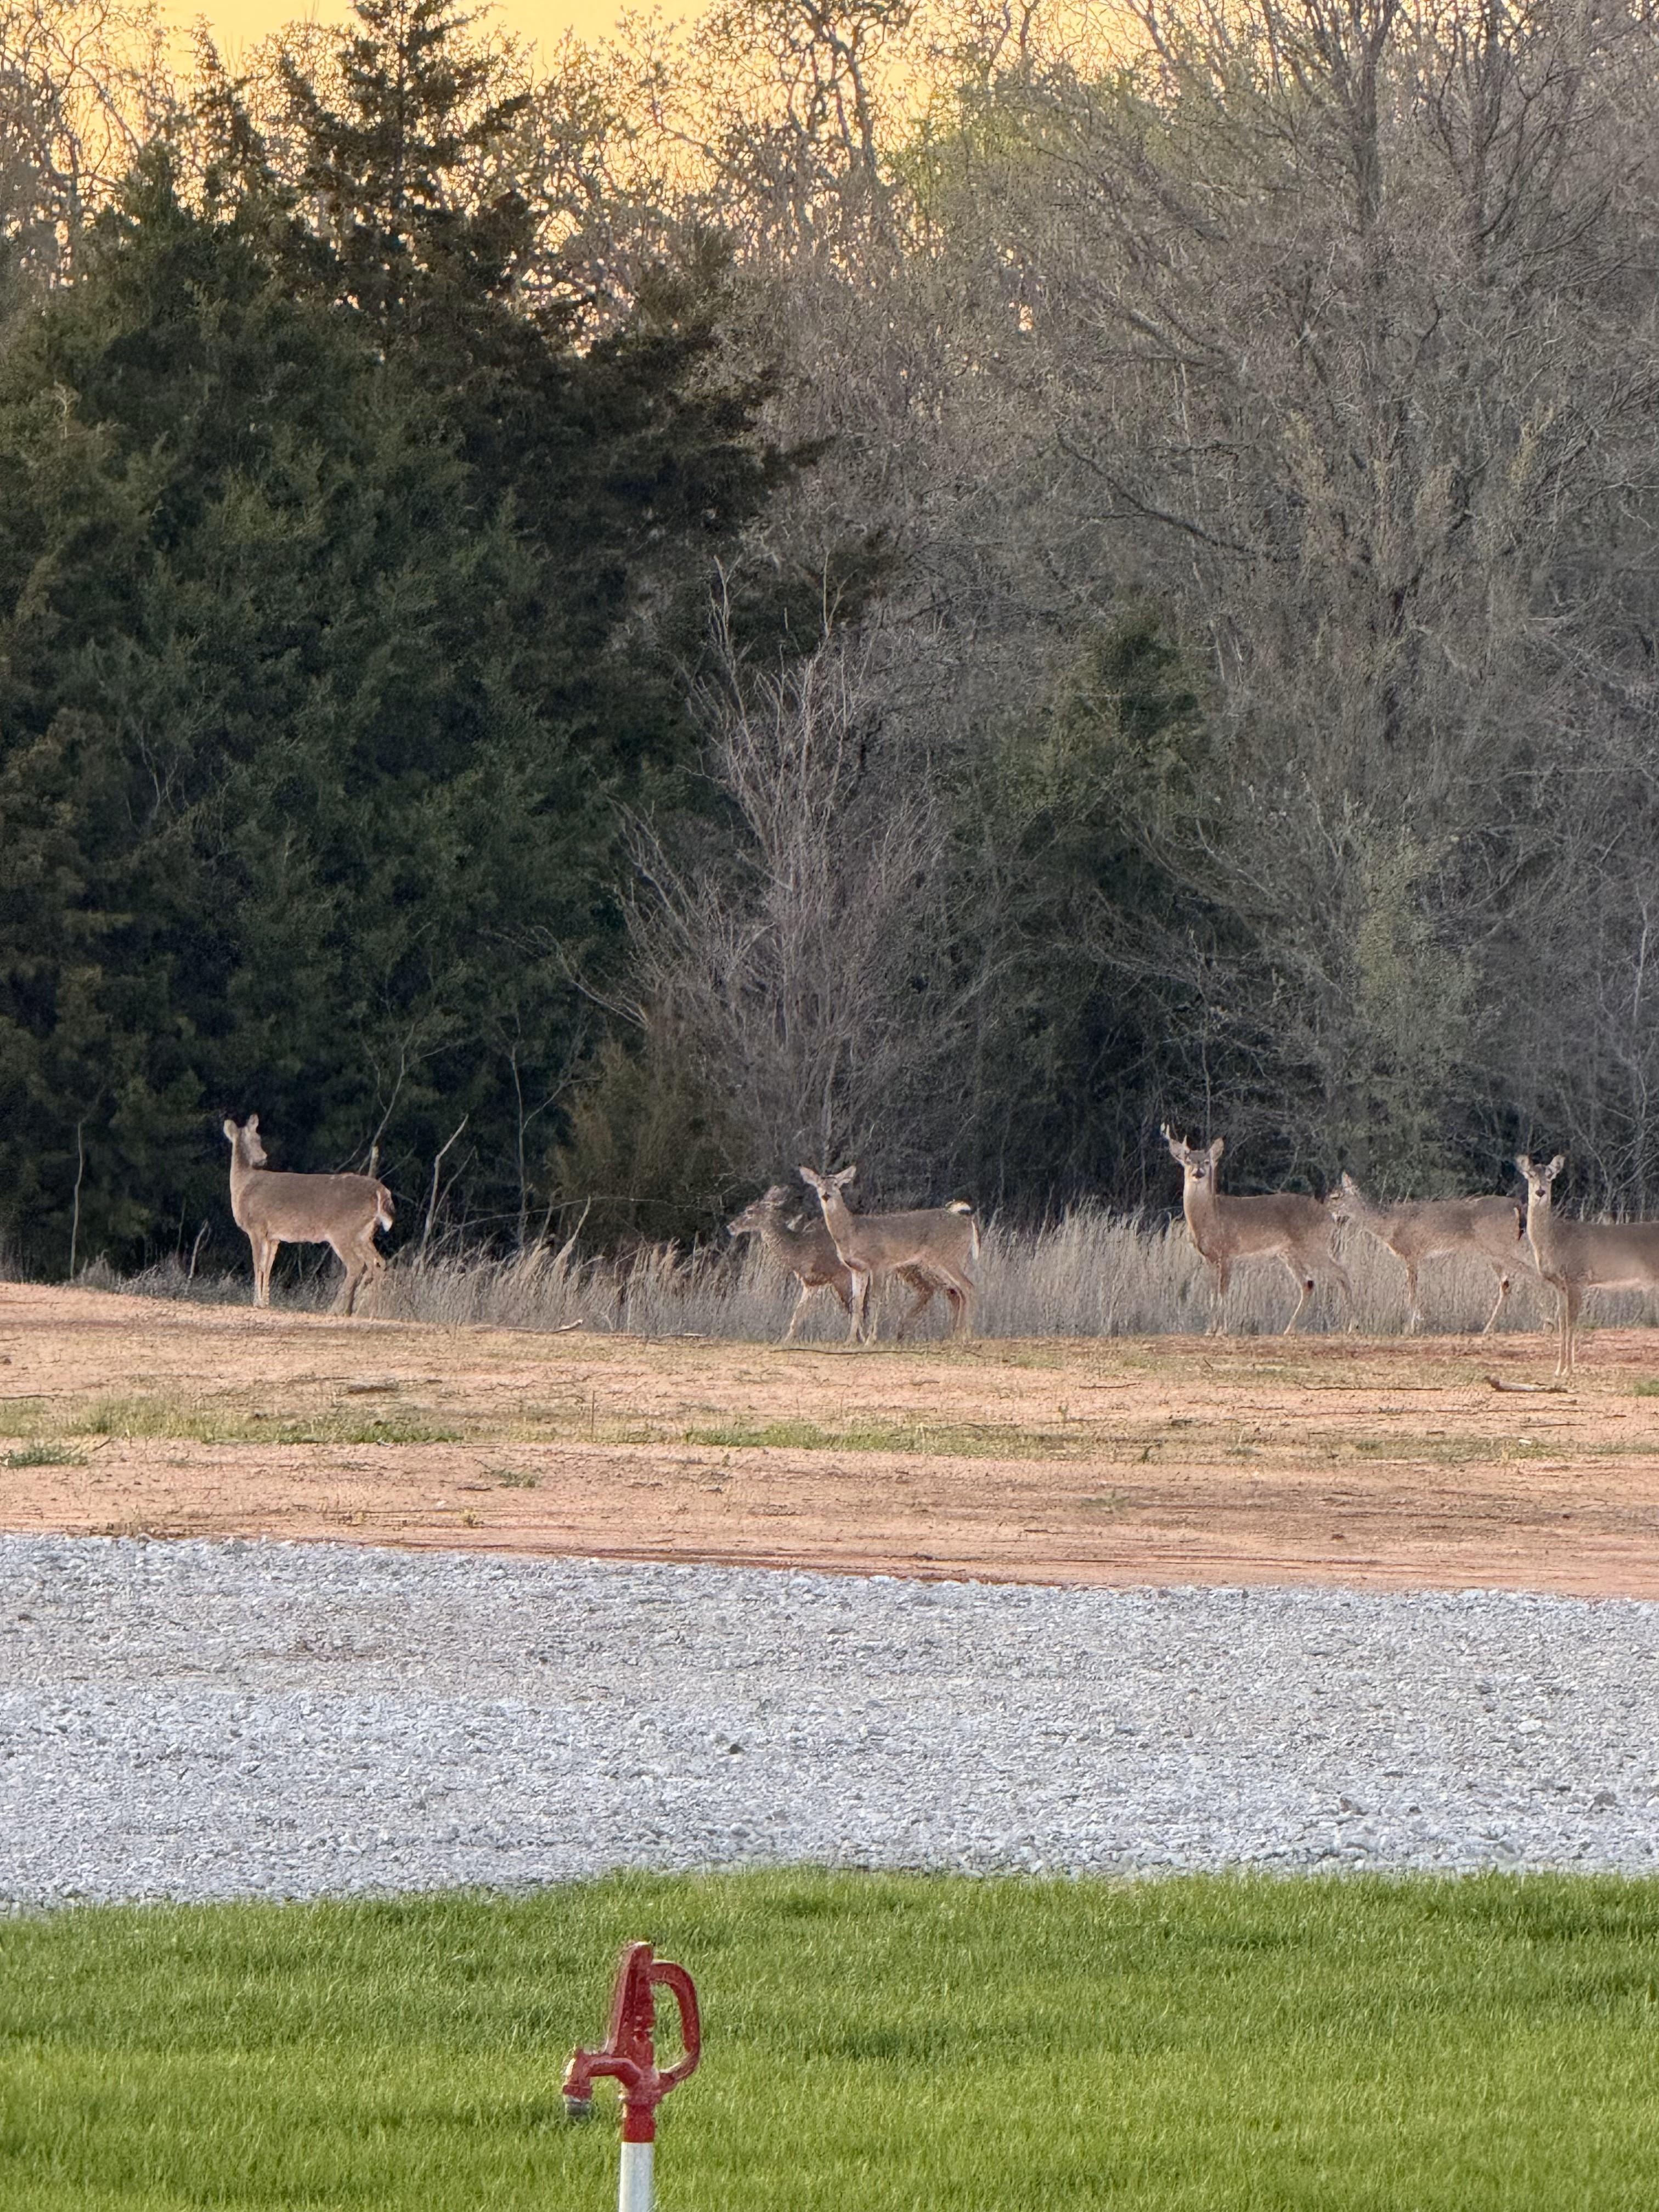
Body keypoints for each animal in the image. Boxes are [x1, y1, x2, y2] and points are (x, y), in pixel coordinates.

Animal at [223, 1115, 393, 1316]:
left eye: (258, 1138)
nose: (264, 1158)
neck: (243, 1186)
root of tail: (381, 1190)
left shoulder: (257, 1227)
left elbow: (258, 1264)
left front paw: (257, 1302)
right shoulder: (273, 1236)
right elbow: (268, 1266)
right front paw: (265, 1301)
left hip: (343, 1230)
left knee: (357, 1265)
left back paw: (337, 1309)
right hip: (363, 1233)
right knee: (378, 1263)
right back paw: (366, 1309)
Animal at [797, 1164, 978, 1343]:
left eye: (836, 1184)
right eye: (819, 1185)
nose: (826, 1195)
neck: (853, 1232)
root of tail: (968, 1223)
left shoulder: (879, 1263)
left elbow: (875, 1299)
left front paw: (871, 1339)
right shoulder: (857, 1269)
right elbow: (857, 1303)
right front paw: (850, 1341)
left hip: (949, 1257)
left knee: (968, 1287)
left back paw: (966, 1334)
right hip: (939, 1262)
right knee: (958, 1291)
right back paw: (955, 1335)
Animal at [1162, 1125, 1351, 1334]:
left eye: (1206, 1161)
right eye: (1188, 1162)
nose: (1198, 1173)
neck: (1210, 1217)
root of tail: (1330, 1217)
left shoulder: (1228, 1252)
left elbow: (1223, 1293)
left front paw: (1222, 1330)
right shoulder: (1209, 1258)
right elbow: (1212, 1294)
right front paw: (1210, 1330)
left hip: (1313, 1246)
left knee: (1342, 1273)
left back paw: (1351, 1326)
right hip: (1290, 1252)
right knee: (1308, 1284)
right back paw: (1288, 1330)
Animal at [1327, 1172, 1528, 1335]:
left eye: (1336, 1196)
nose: (1328, 1211)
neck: (1388, 1225)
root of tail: (1515, 1204)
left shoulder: (1411, 1253)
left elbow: (1412, 1292)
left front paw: (1410, 1328)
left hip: (1499, 1246)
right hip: (1494, 1251)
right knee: (1507, 1283)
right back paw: (1488, 1328)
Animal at [1514, 1152, 1659, 1376]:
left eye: (1550, 1175)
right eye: (1530, 1175)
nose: (1540, 1192)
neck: (1555, 1239)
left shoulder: (1578, 1277)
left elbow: (1572, 1322)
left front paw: (1569, 1369)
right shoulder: (1560, 1285)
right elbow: (1562, 1322)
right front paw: (1559, 1369)